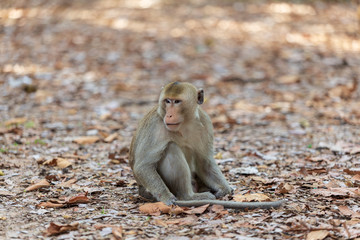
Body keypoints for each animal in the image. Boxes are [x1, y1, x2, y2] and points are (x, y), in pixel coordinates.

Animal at [129, 81, 284, 209]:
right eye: (167, 101)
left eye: (177, 101)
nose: (169, 115)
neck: (184, 124)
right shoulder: (155, 126)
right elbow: (143, 166)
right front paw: (167, 197)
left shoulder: (205, 122)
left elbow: (205, 161)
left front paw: (224, 189)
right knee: (171, 148)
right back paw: (189, 197)